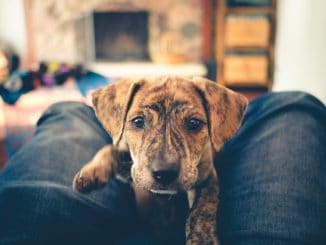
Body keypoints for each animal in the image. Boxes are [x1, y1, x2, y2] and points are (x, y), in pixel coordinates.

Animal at [72, 75, 248, 244]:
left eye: (194, 123)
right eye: (138, 121)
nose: (164, 173)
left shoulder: (207, 175)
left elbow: (203, 208)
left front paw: (203, 238)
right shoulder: (130, 162)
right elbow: (110, 149)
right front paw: (91, 171)